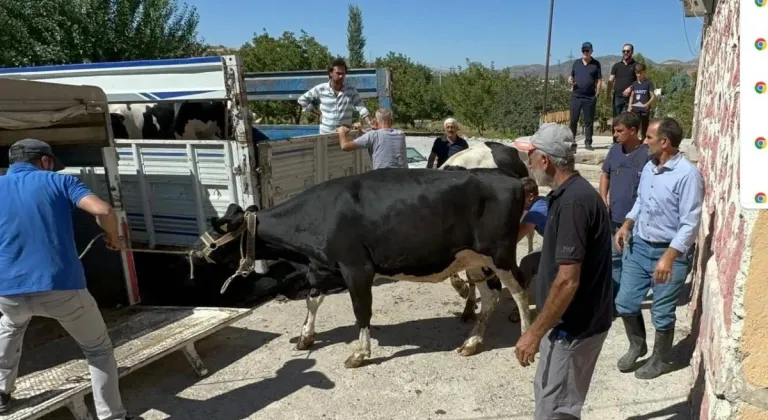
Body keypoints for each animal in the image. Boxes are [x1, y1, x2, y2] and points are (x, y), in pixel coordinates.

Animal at [189, 167, 532, 368]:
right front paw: (305, 337)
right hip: (475, 260)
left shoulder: (356, 267)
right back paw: (472, 342)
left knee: (519, 288)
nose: (193, 254)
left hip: (500, 254)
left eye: (217, 234)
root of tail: (510, 179)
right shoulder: (323, 268)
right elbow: (313, 300)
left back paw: (524, 339)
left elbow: (361, 310)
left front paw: (359, 353)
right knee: (491, 296)